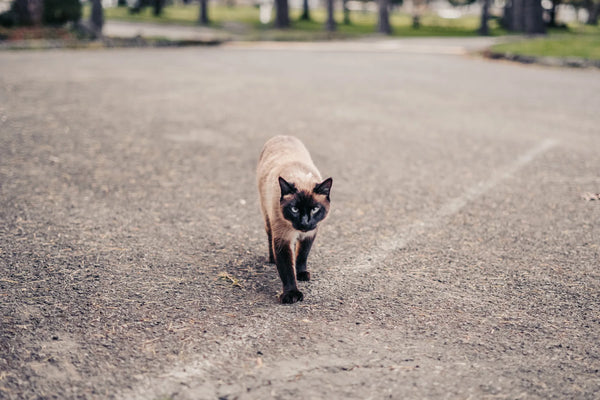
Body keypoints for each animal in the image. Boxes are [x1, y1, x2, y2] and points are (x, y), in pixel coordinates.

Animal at [256, 134, 332, 304]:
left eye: (315, 209)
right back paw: (272, 259)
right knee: (269, 237)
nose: (304, 222)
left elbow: (302, 255)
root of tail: (282, 135)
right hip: (267, 216)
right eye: (295, 209)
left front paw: (301, 273)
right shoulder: (282, 239)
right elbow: (286, 270)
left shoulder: (310, 233)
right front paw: (291, 294)